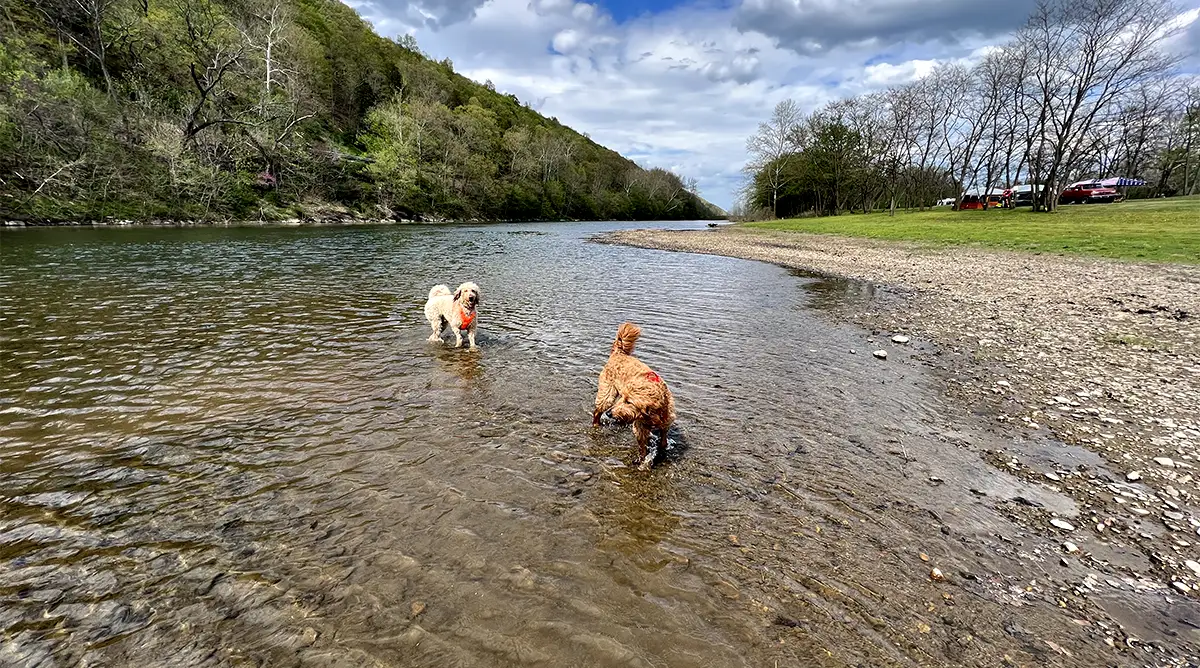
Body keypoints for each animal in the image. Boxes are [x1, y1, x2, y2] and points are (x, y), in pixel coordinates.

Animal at [590, 321, 676, 467]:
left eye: (628, 401)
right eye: (624, 399)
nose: (610, 413)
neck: (652, 415)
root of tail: (619, 354)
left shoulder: (666, 421)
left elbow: (663, 440)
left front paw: (660, 450)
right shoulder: (640, 427)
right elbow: (642, 447)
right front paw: (642, 461)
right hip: (607, 394)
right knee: (597, 411)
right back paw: (596, 424)